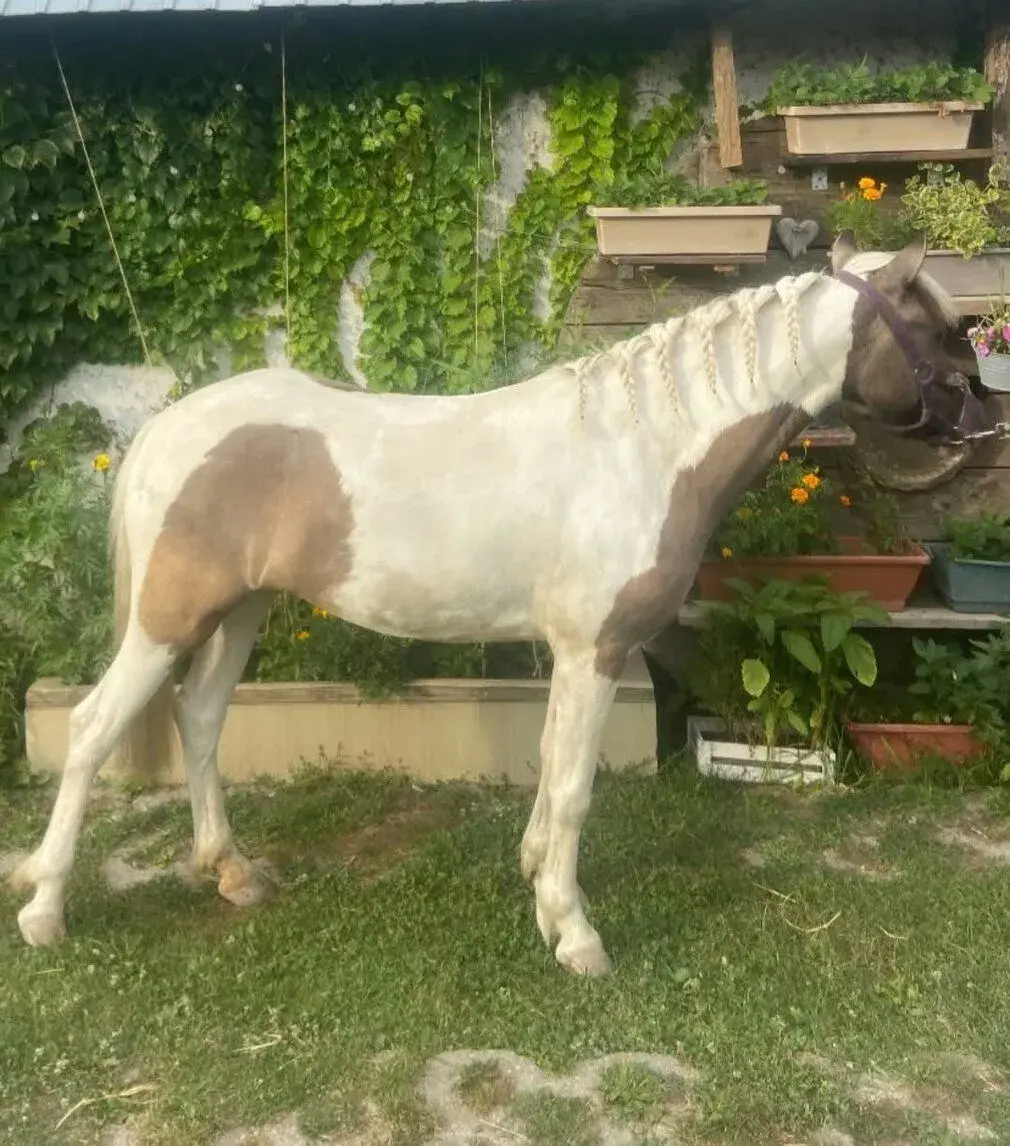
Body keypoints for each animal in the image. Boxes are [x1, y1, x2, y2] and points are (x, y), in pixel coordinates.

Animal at [10, 232, 987, 975]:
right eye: (939, 331)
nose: (982, 421)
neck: (644, 448)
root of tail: (167, 427)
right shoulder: (596, 650)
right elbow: (577, 788)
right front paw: (576, 934)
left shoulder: (571, 654)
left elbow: (552, 769)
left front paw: (538, 884)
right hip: (168, 619)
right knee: (93, 730)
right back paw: (45, 909)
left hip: (237, 613)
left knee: (202, 719)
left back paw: (231, 872)